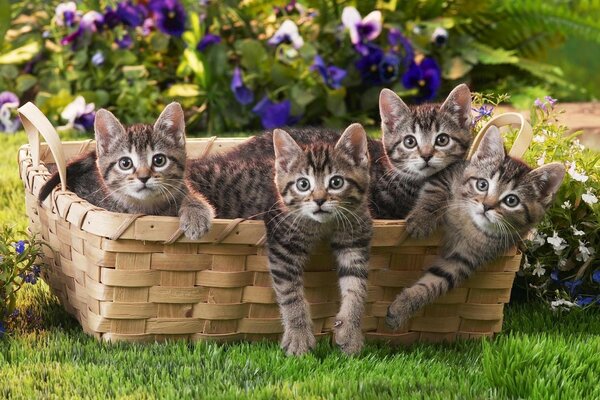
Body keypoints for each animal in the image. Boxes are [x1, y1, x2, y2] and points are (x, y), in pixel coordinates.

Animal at [39, 103, 213, 241]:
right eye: (125, 163)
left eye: (159, 160)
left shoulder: (183, 188)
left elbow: (193, 197)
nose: (144, 177)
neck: (147, 207)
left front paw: (195, 216)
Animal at [190, 123, 372, 354]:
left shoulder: (356, 239)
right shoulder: (283, 244)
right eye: (303, 184)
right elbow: (290, 292)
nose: (319, 200)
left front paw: (350, 332)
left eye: (336, 182)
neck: (322, 225)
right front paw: (298, 336)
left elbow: (357, 287)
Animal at [386, 126, 564, 328]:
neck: (469, 224)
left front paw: (403, 306)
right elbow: (435, 191)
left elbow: (438, 280)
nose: (486, 206)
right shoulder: (448, 173)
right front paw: (422, 220)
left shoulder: (468, 258)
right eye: (482, 184)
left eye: (511, 200)